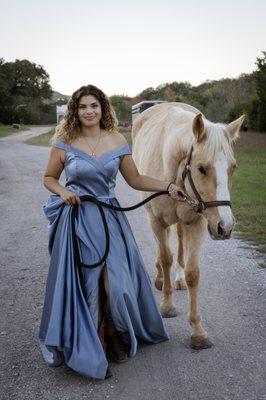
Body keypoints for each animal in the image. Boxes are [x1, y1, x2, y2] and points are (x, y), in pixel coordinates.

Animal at [132, 103, 244, 350]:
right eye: (201, 168)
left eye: (233, 167)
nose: (226, 227)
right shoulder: (156, 220)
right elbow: (166, 258)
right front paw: (167, 305)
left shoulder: (198, 223)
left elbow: (193, 272)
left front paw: (197, 331)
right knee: (163, 249)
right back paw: (161, 278)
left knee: (180, 242)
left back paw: (178, 279)